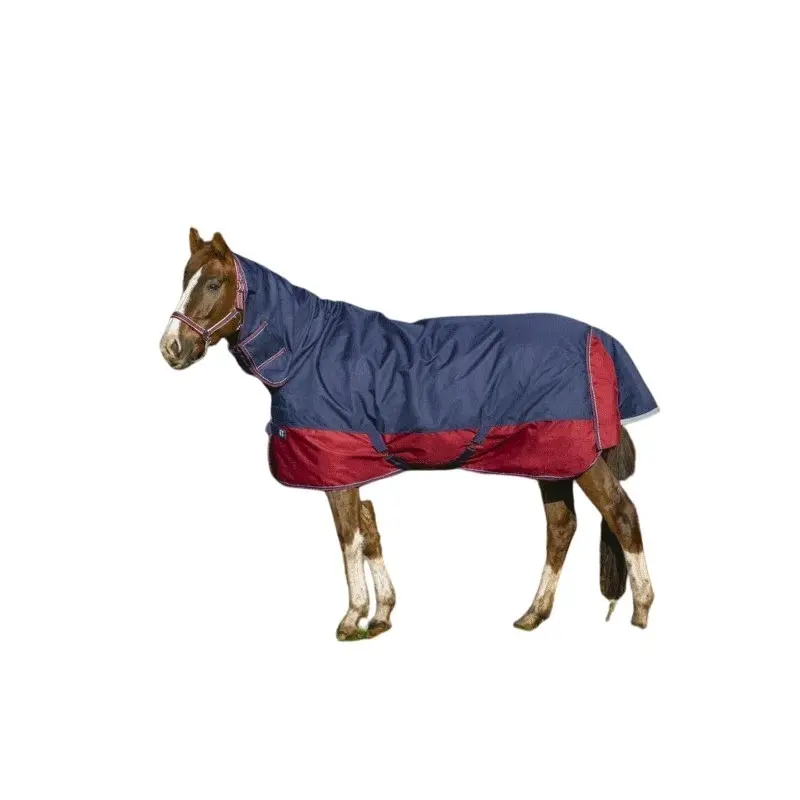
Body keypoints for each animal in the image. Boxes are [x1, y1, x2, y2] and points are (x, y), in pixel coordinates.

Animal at [160, 228, 658, 640]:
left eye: (212, 283)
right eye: (184, 279)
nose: (171, 348)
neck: (306, 351)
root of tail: (600, 340)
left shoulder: (337, 472)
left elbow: (349, 539)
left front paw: (351, 618)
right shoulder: (355, 470)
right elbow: (370, 531)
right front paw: (381, 615)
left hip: (580, 459)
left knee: (621, 514)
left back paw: (642, 611)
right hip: (550, 459)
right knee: (561, 527)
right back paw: (533, 614)